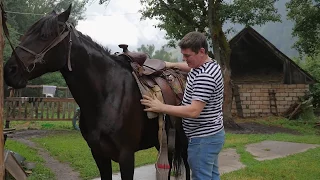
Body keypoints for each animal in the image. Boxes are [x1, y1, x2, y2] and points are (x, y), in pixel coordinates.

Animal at [3, 4, 190, 180]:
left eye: (44, 36)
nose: (9, 70)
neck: (107, 97)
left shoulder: (126, 156)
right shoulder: (99, 154)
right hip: (163, 143)